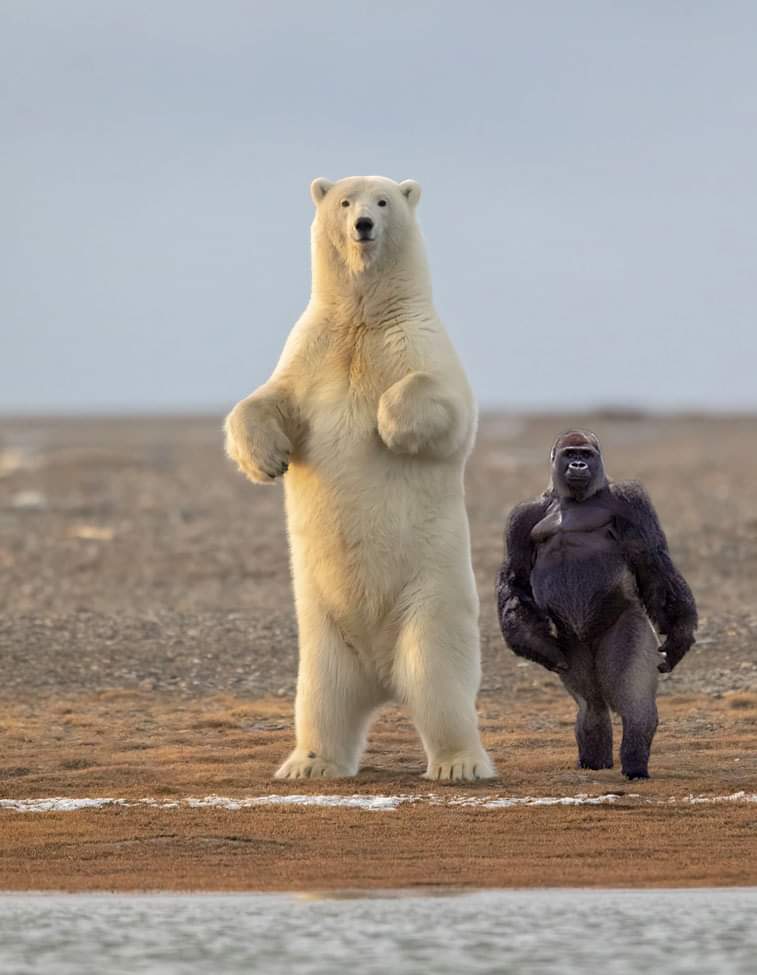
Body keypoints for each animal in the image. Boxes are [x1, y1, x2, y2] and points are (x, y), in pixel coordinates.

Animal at [223, 175, 496, 780]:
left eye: (384, 201)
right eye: (345, 201)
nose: (363, 225)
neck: (363, 316)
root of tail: (382, 677)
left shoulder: (417, 341)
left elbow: (444, 402)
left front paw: (389, 426)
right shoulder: (311, 350)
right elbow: (267, 400)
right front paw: (268, 461)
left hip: (430, 603)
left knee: (439, 686)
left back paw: (460, 764)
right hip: (324, 636)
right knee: (321, 700)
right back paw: (308, 763)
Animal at [496, 430, 696, 780]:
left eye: (586, 454)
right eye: (571, 454)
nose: (578, 465)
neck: (572, 499)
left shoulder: (631, 499)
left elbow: (653, 560)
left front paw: (680, 633)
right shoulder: (521, 516)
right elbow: (516, 578)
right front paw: (533, 641)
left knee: (635, 704)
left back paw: (635, 764)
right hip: (572, 644)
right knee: (591, 706)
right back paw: (594, 761)